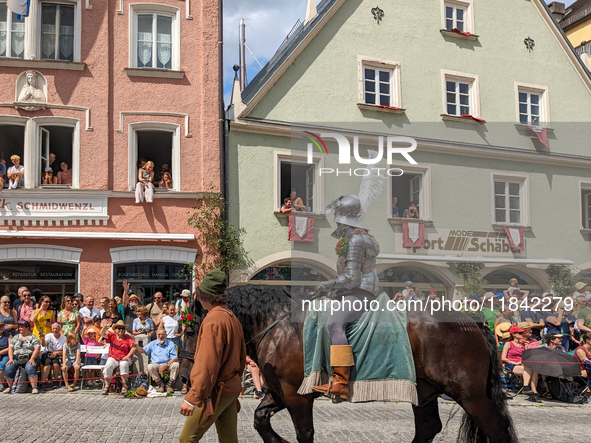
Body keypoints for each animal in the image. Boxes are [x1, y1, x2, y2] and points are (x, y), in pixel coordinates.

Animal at [227, 286, 520, 442]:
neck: (278, 327)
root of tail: (472, 322)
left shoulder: (296, 395)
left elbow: (304, 432)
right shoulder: (278, 392)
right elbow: (260, 420)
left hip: (470, 395)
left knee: (496, 426)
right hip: (424, 391)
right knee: (428, 427)